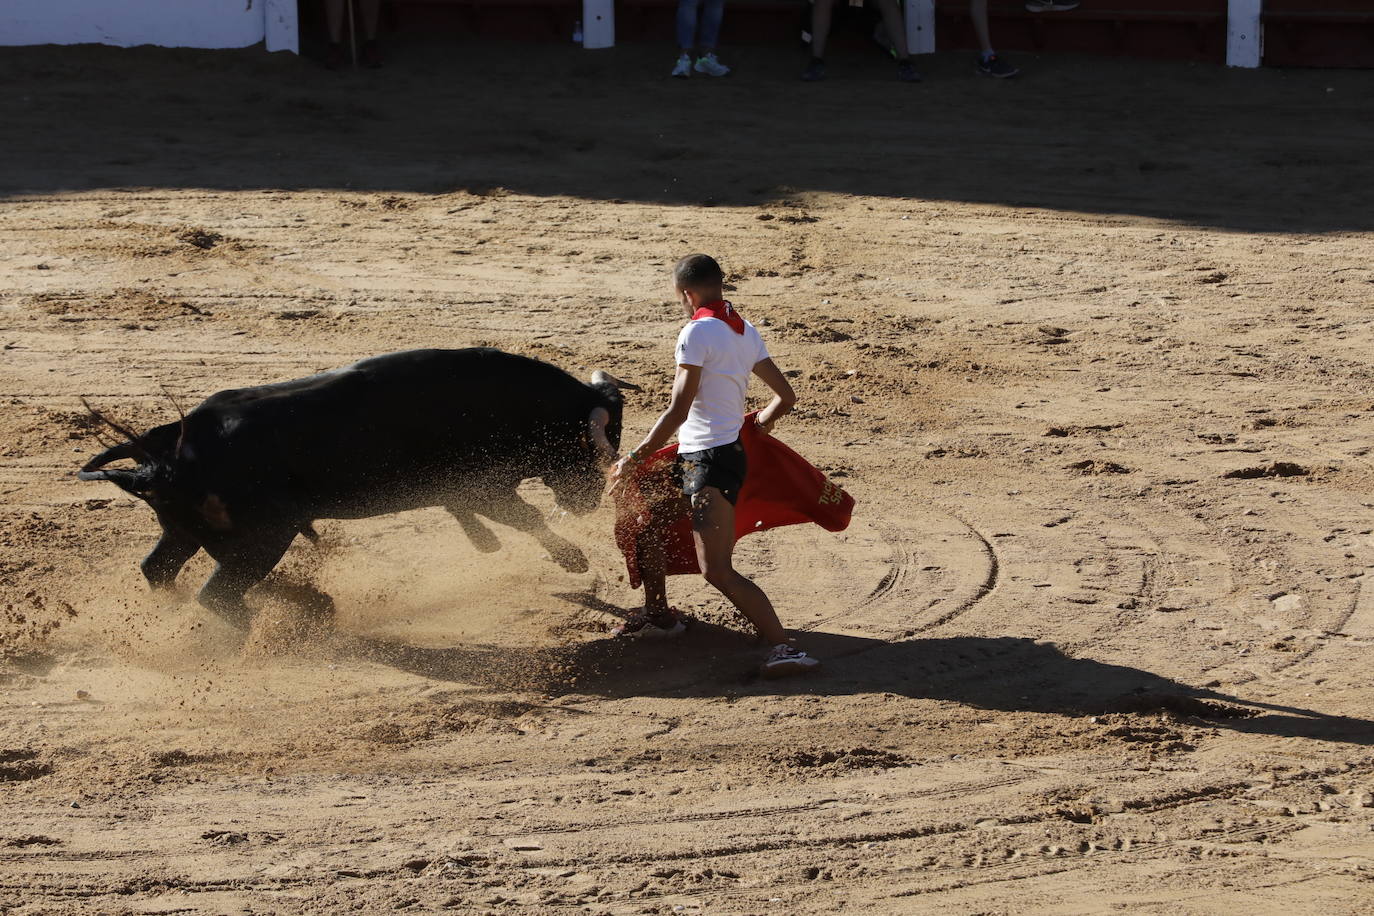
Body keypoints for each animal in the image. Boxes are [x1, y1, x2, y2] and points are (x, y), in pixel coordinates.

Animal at [76, 347, 632, 626]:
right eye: (587, 445)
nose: (587, 503)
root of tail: (165, 453)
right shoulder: (483, 487)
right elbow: (525, 517)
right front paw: (573, 559)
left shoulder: (464, 492)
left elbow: (485, 518)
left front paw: (490, 544)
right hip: (262, 539)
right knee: (218, 595)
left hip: (188, 532)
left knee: (160, 570)